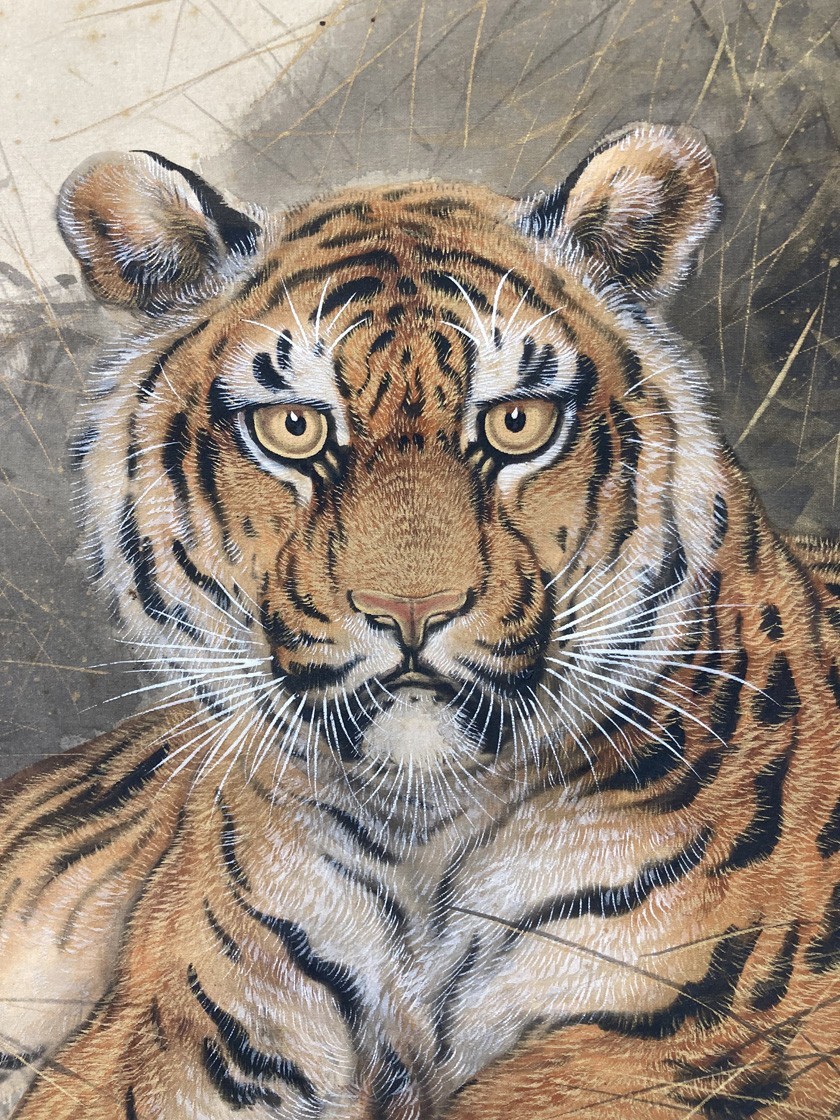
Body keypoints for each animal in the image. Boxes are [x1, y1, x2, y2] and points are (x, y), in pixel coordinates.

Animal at [0, 121, 838, 1120]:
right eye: (293, 429)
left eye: (517, 423)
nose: (410, 610)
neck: (419, 846)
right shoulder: (170, 1037)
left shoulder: (717, 1039)